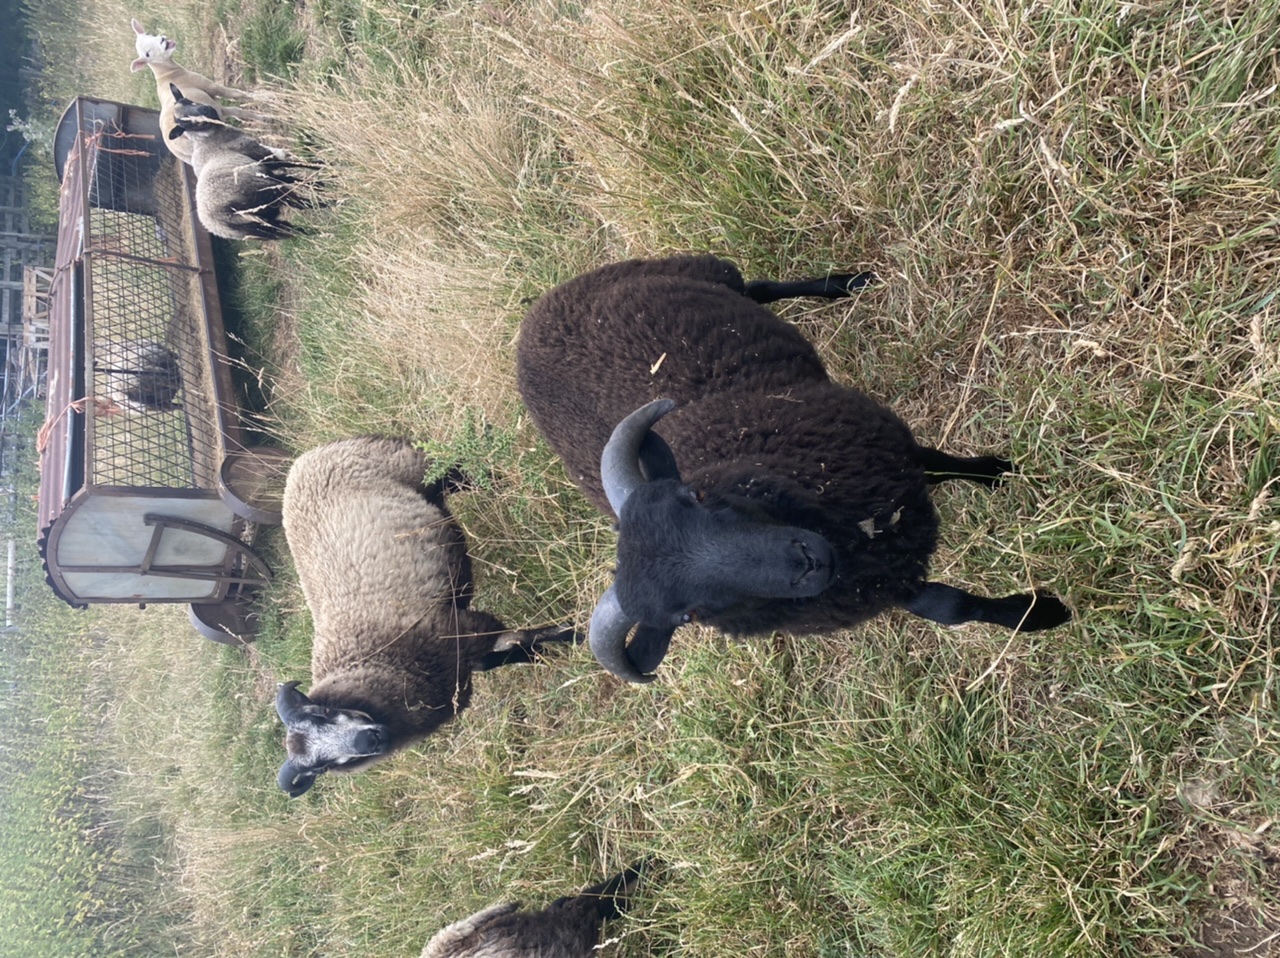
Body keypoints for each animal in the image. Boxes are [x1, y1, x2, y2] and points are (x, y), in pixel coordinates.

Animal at [130, 18, 270, 166]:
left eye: (149, 35)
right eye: (147, 54)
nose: (163, 39)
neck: (168, 74)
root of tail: (176, 149)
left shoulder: (215, 105)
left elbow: (237, 110)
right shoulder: (211, 90)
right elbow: (237, 97)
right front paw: (263, 100)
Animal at [167, 85, 318, 241]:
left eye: (189, 101)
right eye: (186, 122)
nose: (206, 110)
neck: (208, 139)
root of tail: (220, 224)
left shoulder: (263, 169)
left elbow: (290, 177)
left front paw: (317, 184)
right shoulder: (262, 157)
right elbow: (292, 164)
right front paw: (319, 167)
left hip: (262, 228)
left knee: (290, 230)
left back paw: (314, 233)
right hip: (266, 193)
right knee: (298, 203)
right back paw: (323, 208)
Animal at [275, 436, 578, 797]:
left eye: (323, 713)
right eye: (321, 767)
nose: (369, 740)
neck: (373, 662)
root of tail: (303, 460)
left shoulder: (457, 627)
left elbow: (518, 637)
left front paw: (571, 633)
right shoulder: (457, 653)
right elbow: (499, 658)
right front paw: (543, 655)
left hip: (412, 466)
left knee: (455, 468)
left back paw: (499, 479)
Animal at [516, 254, 1071, 684]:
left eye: (694, 496)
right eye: (689, 616)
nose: (806, 562)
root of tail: (524, 334)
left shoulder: (889, 451)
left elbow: (938, 464)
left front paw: (996, 473)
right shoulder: (877, 584)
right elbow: (948, 608)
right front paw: (1037, 614)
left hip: (709, 271)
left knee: (760, 287)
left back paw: (847, 285)